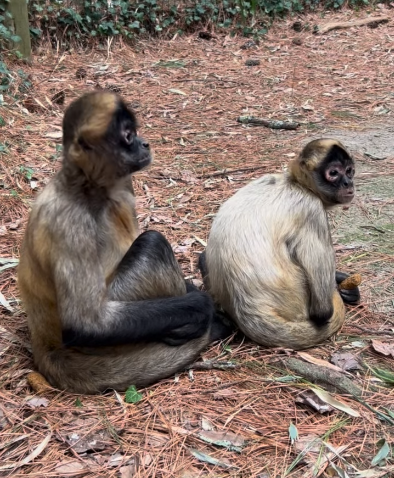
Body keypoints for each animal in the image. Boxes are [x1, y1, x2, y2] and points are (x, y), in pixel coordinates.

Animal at [17, 91, 228, 394]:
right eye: (128, 136)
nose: (145, 142)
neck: (91, 190)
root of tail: (44, 346)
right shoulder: (69, 219)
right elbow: (83, 327)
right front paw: (202, 306)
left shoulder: (124, 186)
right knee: (153, 242)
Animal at [200, 140, 360, 350]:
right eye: (334, 173)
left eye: (349, 171)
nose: (348, 183)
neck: (295, 183)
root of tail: (244, 307)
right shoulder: (312, 209)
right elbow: (322, 313)